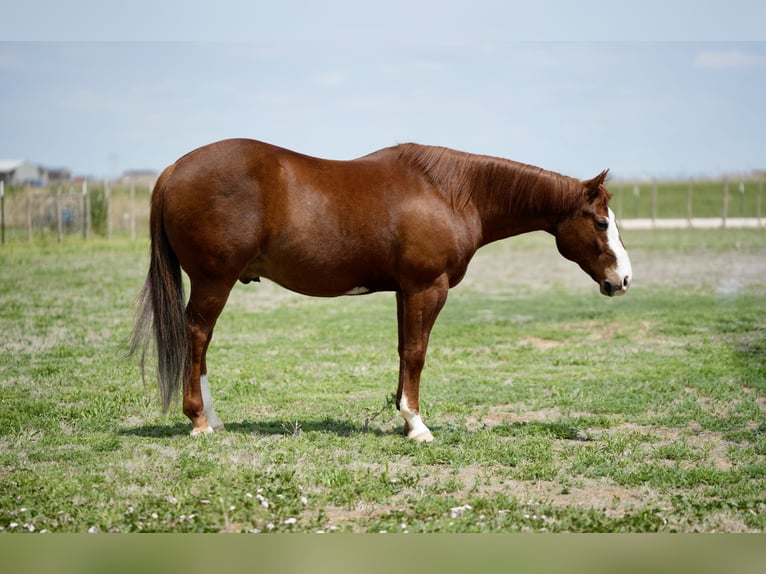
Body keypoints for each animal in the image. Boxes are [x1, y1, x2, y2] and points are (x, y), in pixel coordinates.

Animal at [132, 141, 632, 446]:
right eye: (601, 223)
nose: (623, 280)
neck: (451, 193)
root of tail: (174, 169)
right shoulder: (428, 288)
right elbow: (417, 353)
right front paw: (417, 424)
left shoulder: (404, 291)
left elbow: (402, 350)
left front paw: (403, 416)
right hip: (214, 281)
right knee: (197, 337)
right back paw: (200, 421)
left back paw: (213, 419)